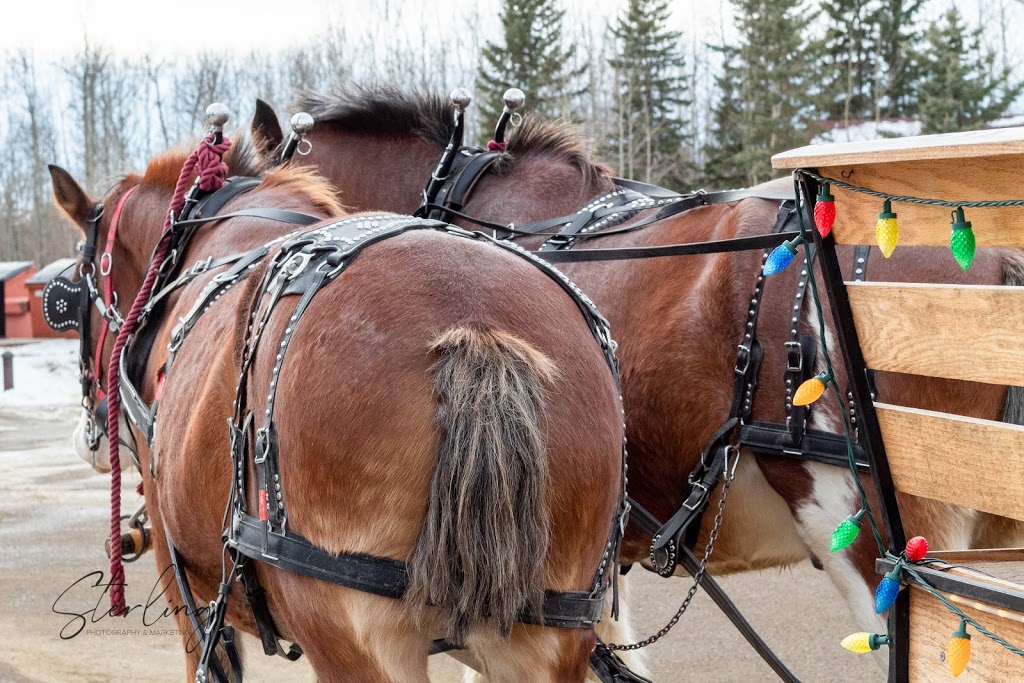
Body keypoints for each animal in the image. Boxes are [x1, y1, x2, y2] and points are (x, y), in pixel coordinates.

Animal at [54, 135, 622, 683]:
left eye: (81, 273)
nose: (91, 437)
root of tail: (477, 328)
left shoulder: (183, 583)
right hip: (548, 632)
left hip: (353, 631)